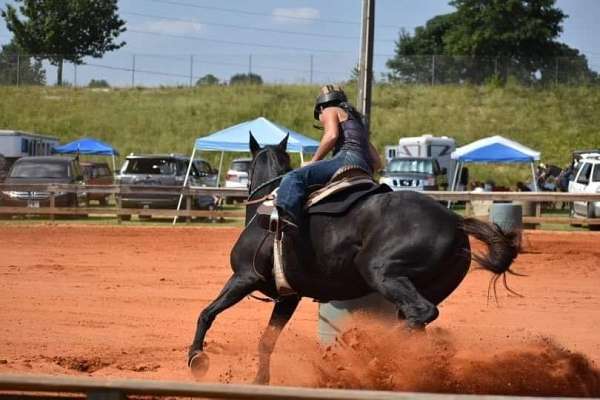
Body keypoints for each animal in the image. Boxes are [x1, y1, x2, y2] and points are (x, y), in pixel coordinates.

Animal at [189, 134, 520, 384]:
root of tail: (455, 221)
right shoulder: (288, 297)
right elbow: (267, 340)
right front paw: (260, 380)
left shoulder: (244, 277)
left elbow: (207, 313)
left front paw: (196, 358)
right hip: (427, 287)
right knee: (418, 323)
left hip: (382, 273)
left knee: (422, 312)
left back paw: (371, 352)